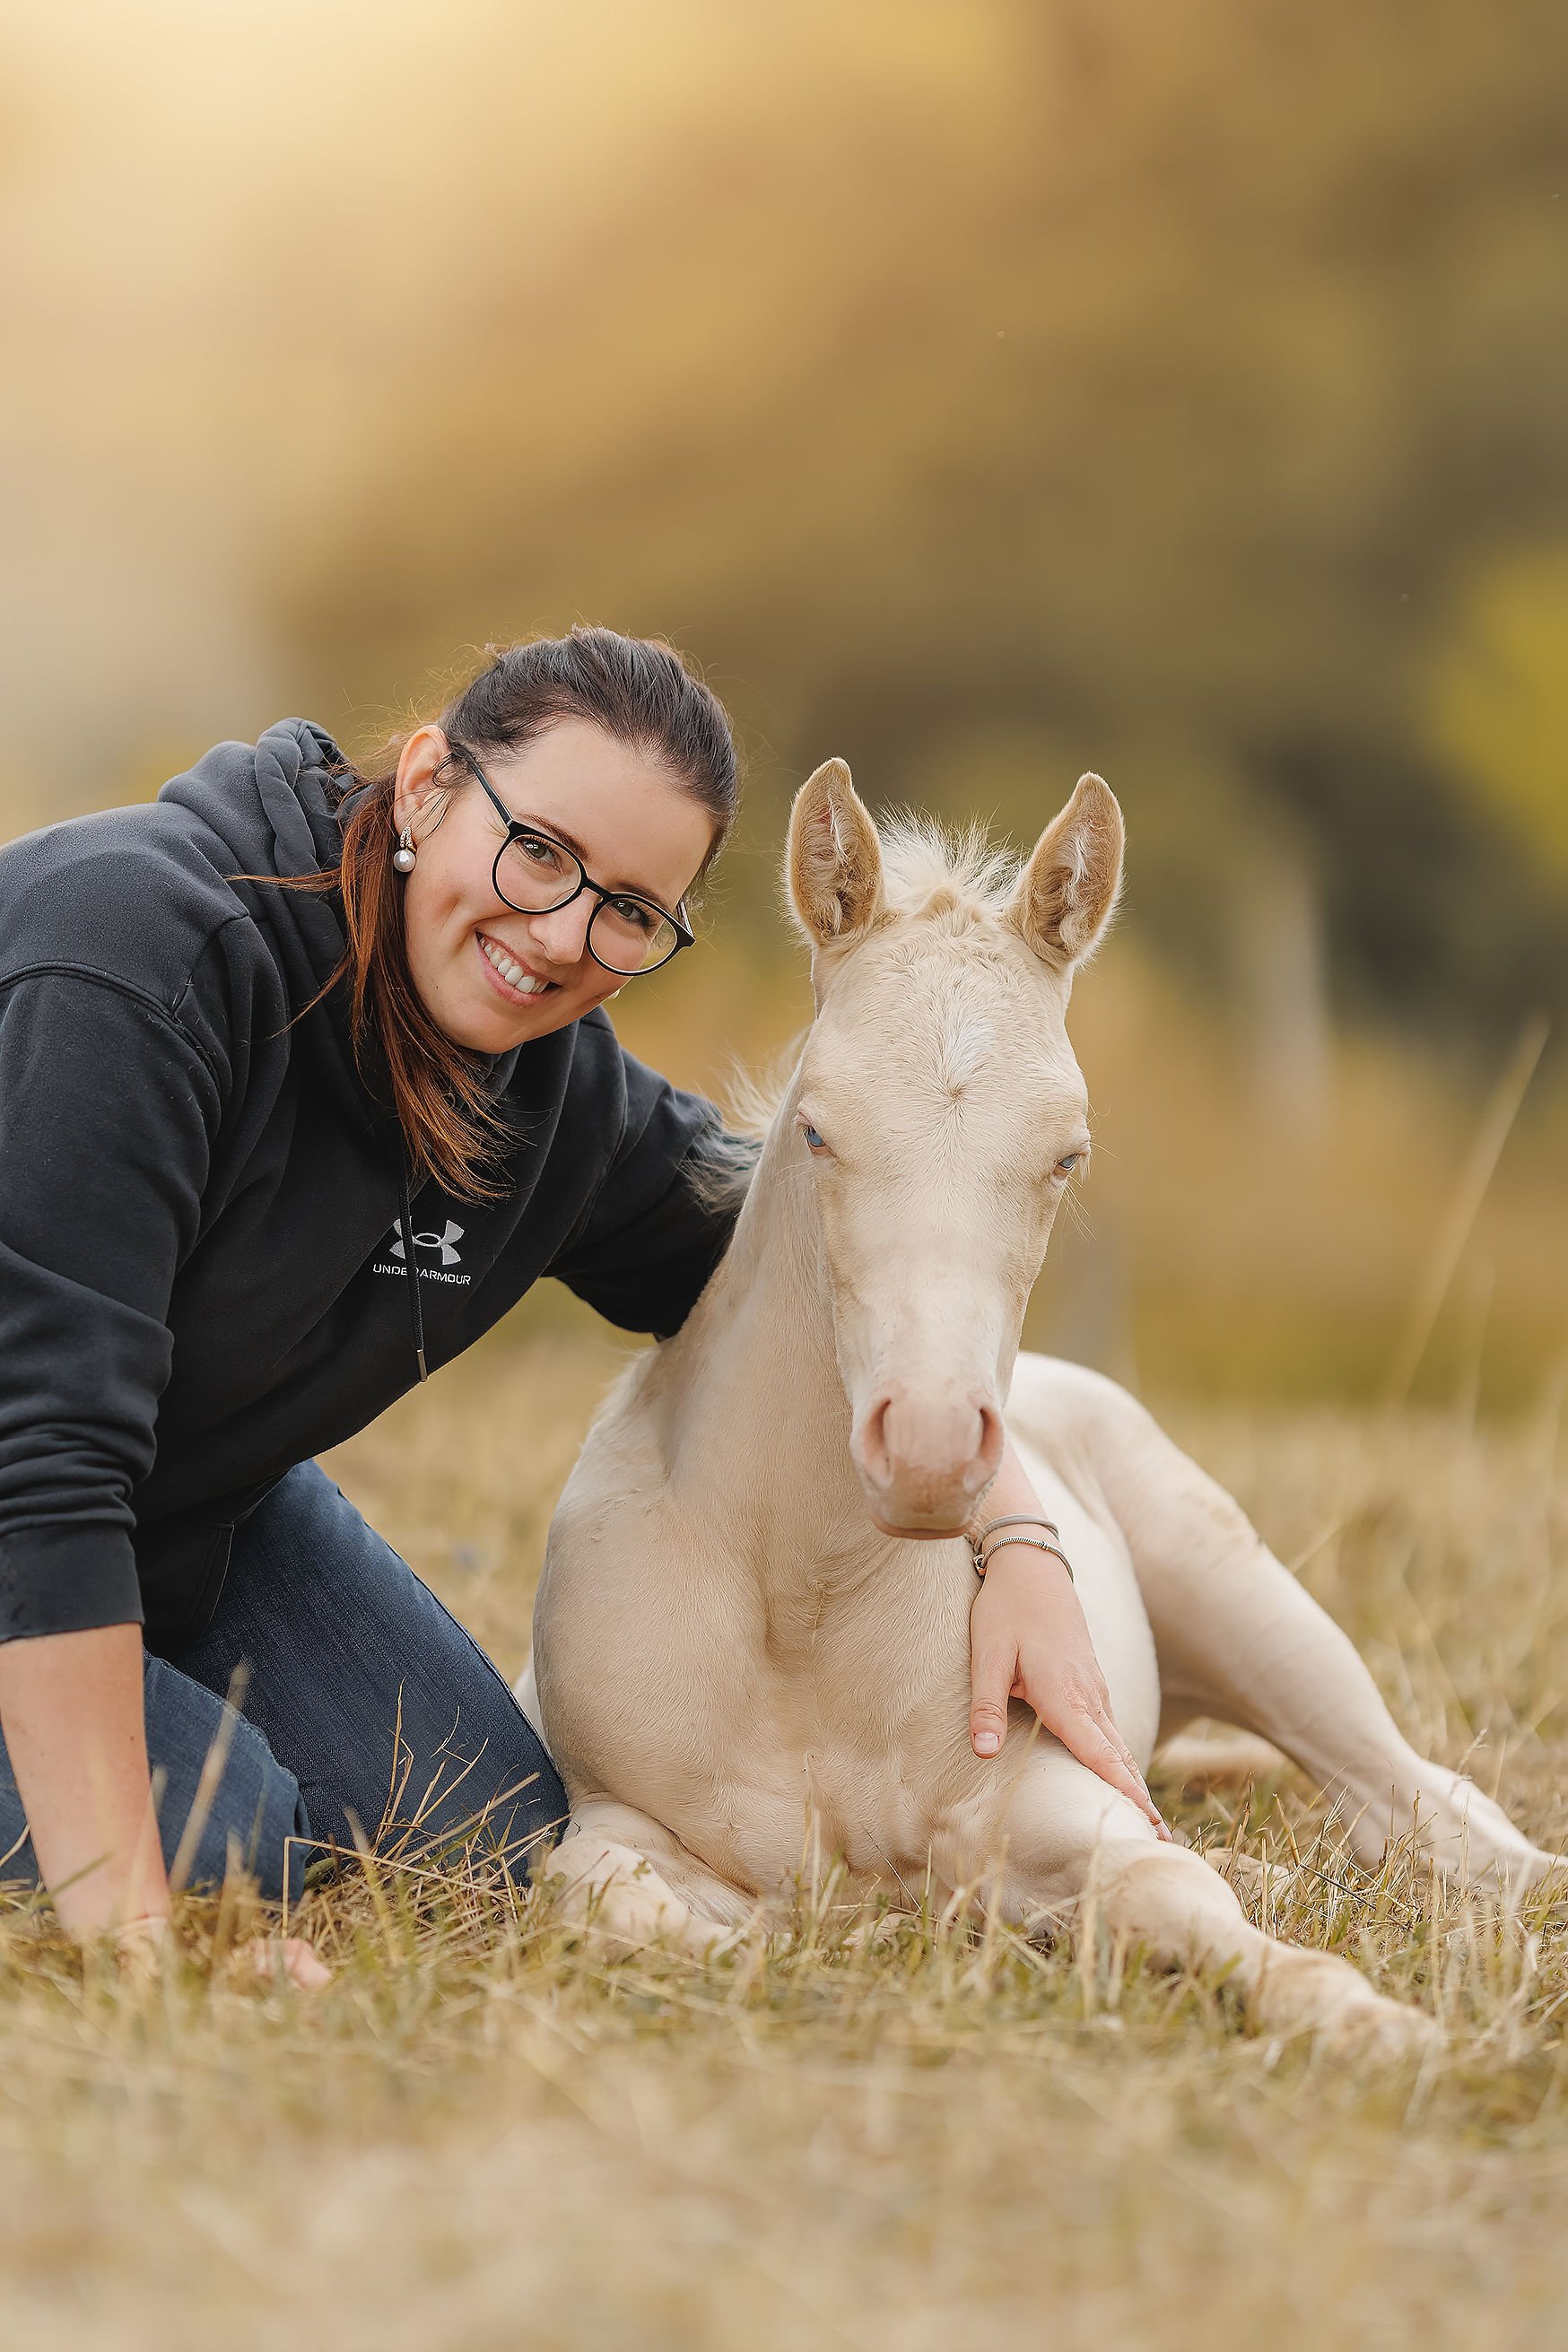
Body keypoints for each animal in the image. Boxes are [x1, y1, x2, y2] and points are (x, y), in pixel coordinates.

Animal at [520, 760, 1555, 2051]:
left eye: (1069, 1153)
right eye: (815, 1129)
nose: (927, 1448)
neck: (795, 1618)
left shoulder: (1044, 1799)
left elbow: (1180, 1898)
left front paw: (1382, 2031)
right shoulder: (622, 1824)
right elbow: (607, 1901)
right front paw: (833, 1936)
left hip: (1260, 1615)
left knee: (1416, 1808)